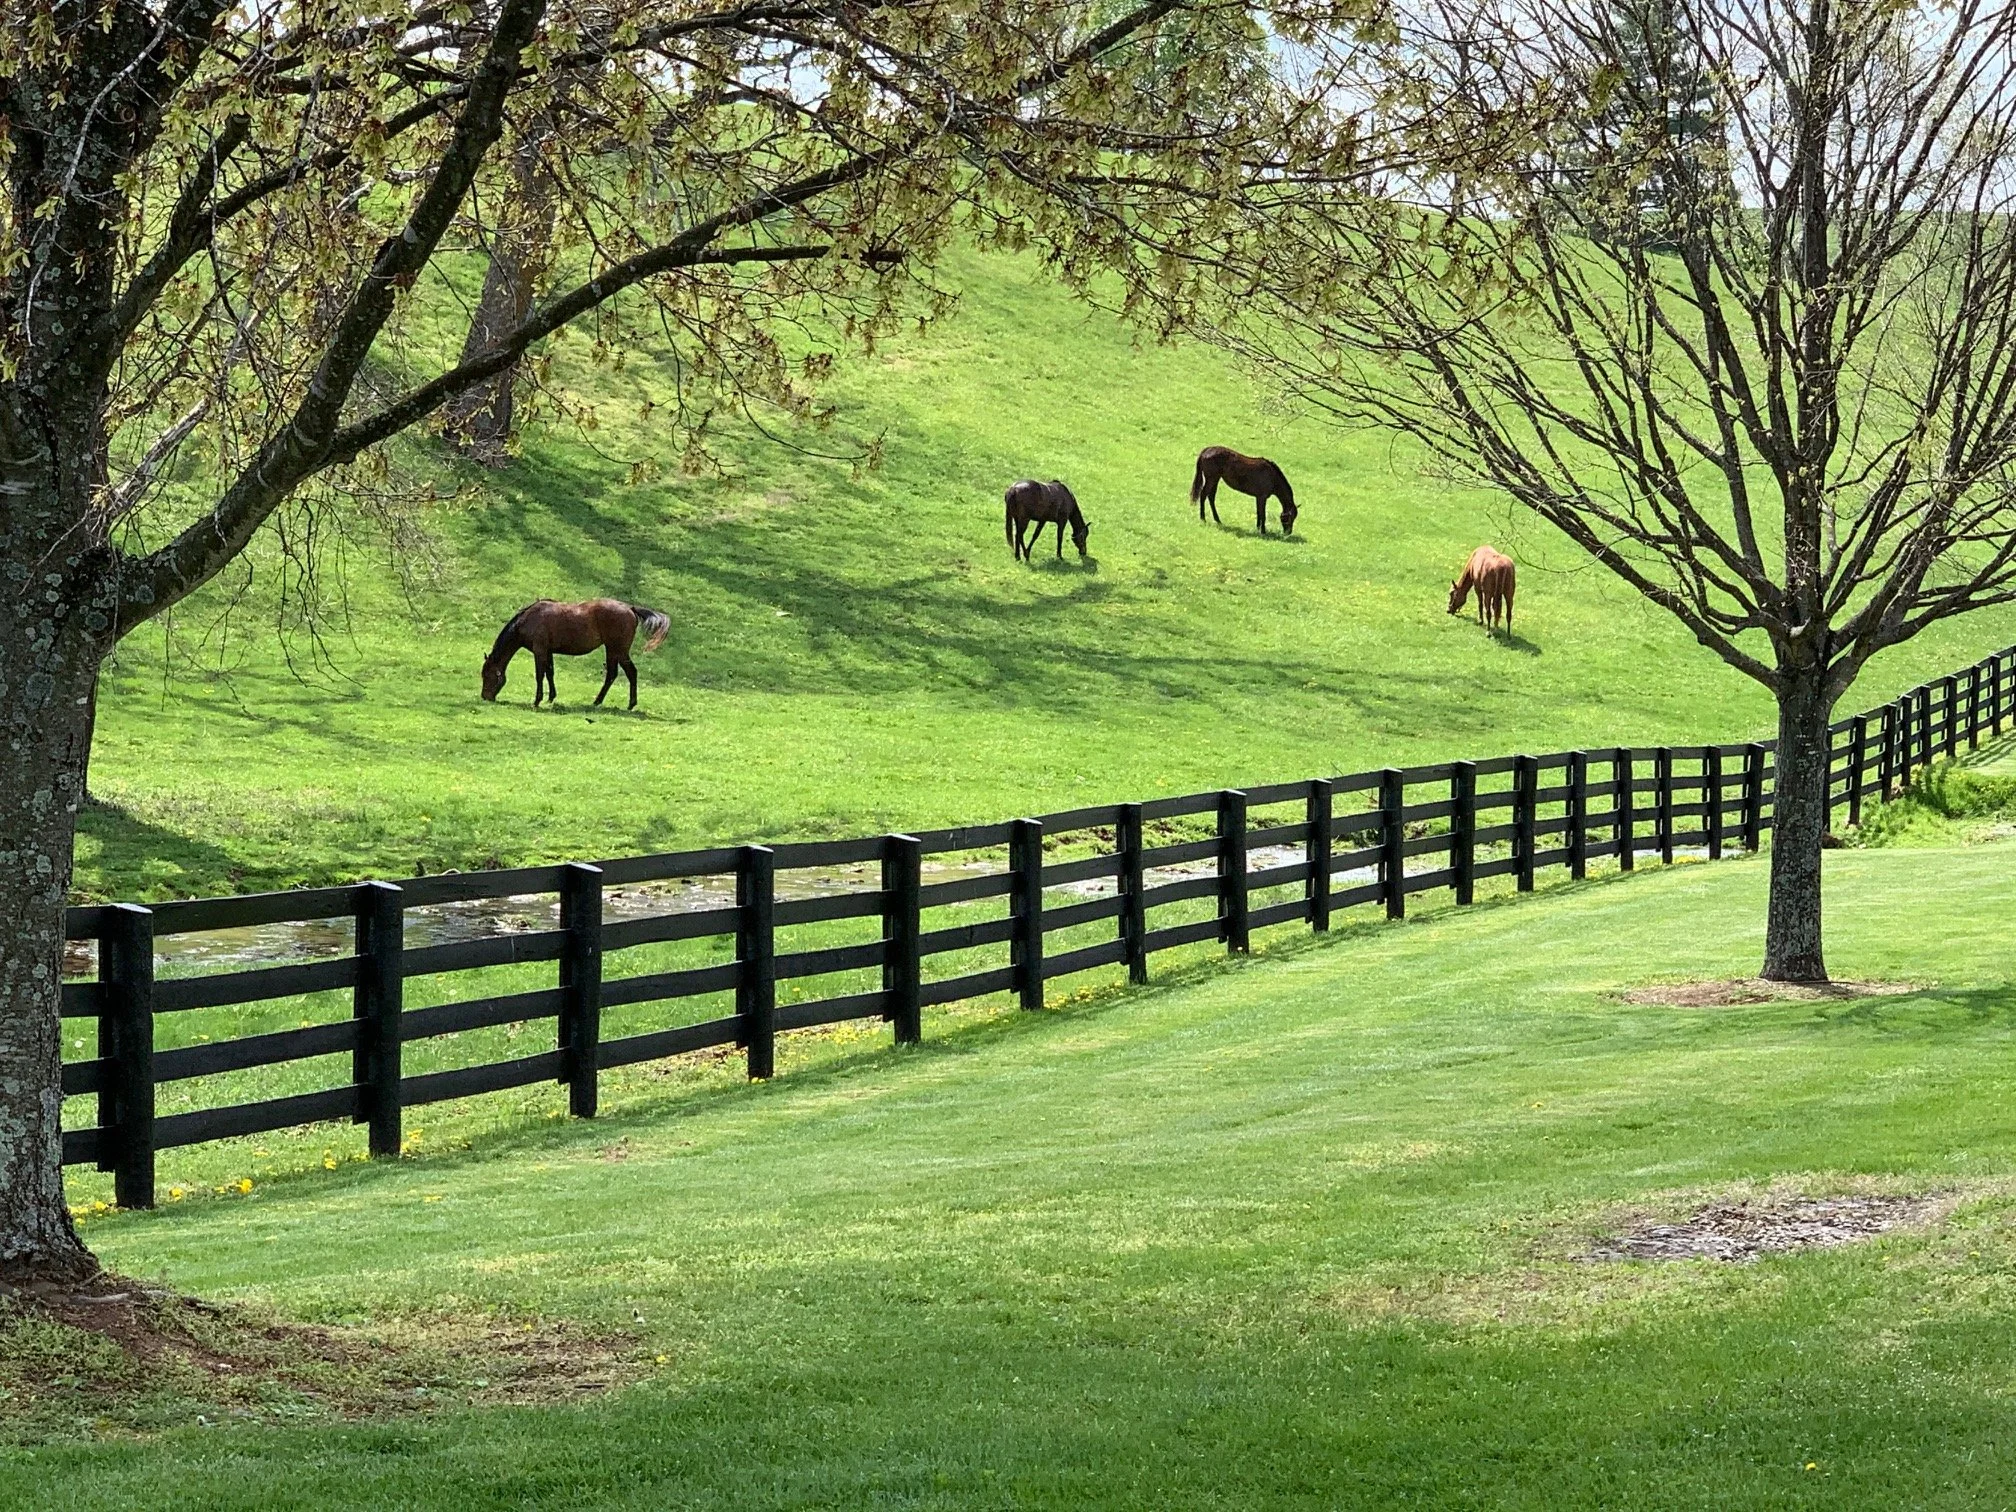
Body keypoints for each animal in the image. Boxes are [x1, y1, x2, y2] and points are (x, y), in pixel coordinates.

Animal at [481, 599, 671, 709]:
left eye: (487, 675)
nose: (485, 697)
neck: (530, 618)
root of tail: (630, 608)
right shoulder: (548, 651)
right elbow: (550, 673)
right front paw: (551, 698)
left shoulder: (539, 650)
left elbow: (540, 675)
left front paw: (537, 700)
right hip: (613, 651)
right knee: (613, 675)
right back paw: (598, 702)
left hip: (617, 650)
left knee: (629, 673)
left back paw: (629, 704)